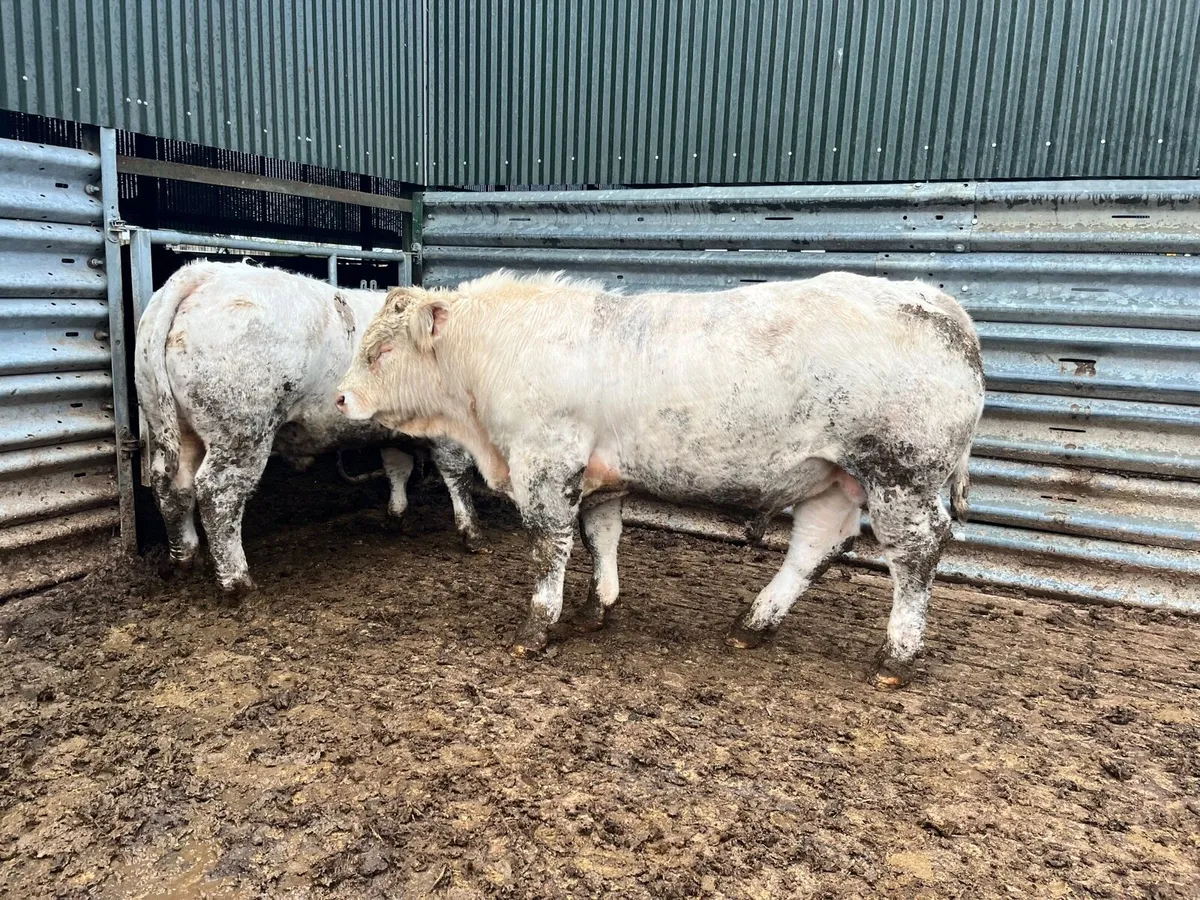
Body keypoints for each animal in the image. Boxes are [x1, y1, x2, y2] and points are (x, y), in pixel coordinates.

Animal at [134, 260, 485, 594]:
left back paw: (184, 558)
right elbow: (458, 475)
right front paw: (471, 533)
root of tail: (203, 273)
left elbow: (397, 468)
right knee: (218, 493)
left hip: (172, 425)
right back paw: (237, 582)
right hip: (242, 433)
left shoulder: (393, 432)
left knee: (172, 485)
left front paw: (397, 516)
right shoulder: (450, 432)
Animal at [335, 270, 985, 688]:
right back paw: (754, 624)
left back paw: (896, 659)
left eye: (382, 351)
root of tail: (931, 298)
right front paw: (597, 608)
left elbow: (549, 548)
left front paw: (537, 626)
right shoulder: (602, 477)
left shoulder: (546, 464)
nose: (339, 397)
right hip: (832, 476)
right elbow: (601, 536)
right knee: (815, 545)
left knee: (915, 553)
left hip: (901, 474)